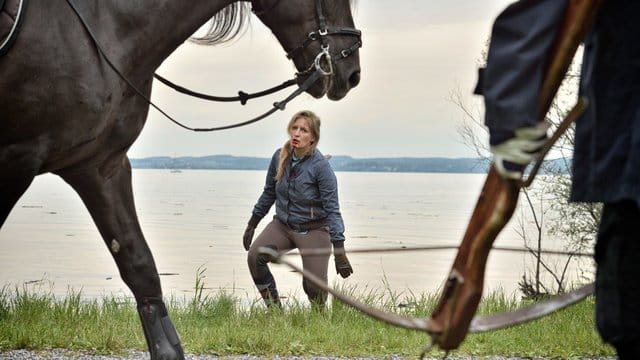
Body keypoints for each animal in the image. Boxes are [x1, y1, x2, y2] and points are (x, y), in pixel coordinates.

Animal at [0, 0, 360, 358]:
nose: (352, 73)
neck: (101, 26)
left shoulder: (101, 167)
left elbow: (139, 265)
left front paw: (167, 350)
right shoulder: (18, 158)